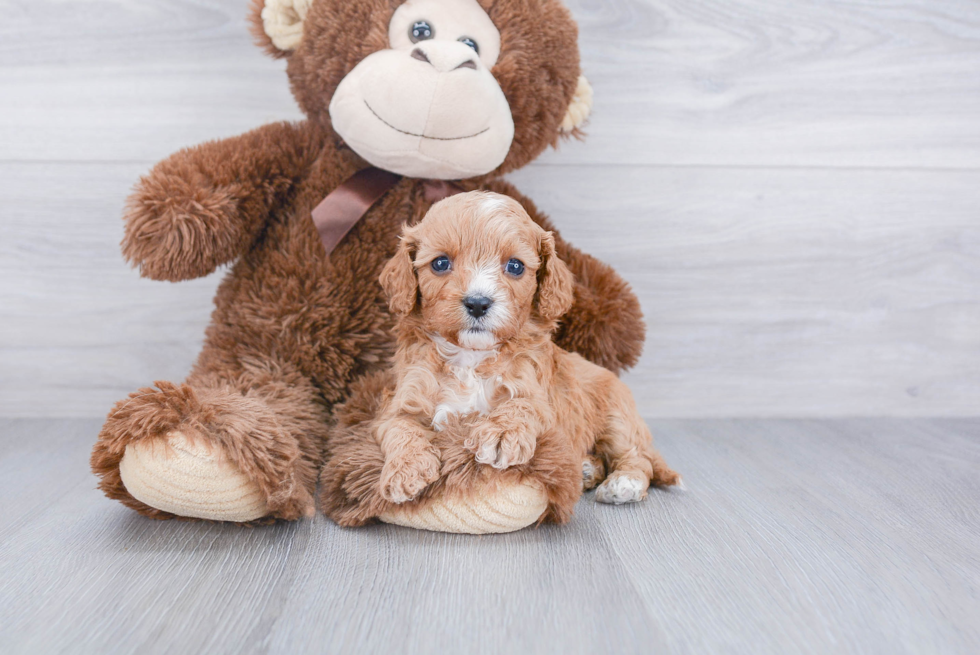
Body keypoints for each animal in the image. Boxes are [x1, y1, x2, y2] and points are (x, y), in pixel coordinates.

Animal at [372, 190, 676, 508]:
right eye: (440, 263)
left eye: (515, 266)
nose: (478, 303)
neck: (471, 357)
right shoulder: (401, 401)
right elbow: (400, 427)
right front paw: (404, 469)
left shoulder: (541, 397)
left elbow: (524, 405)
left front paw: (501, 433)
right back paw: (586, 469)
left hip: (618, 417)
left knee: (638, 457)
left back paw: (623, 483)